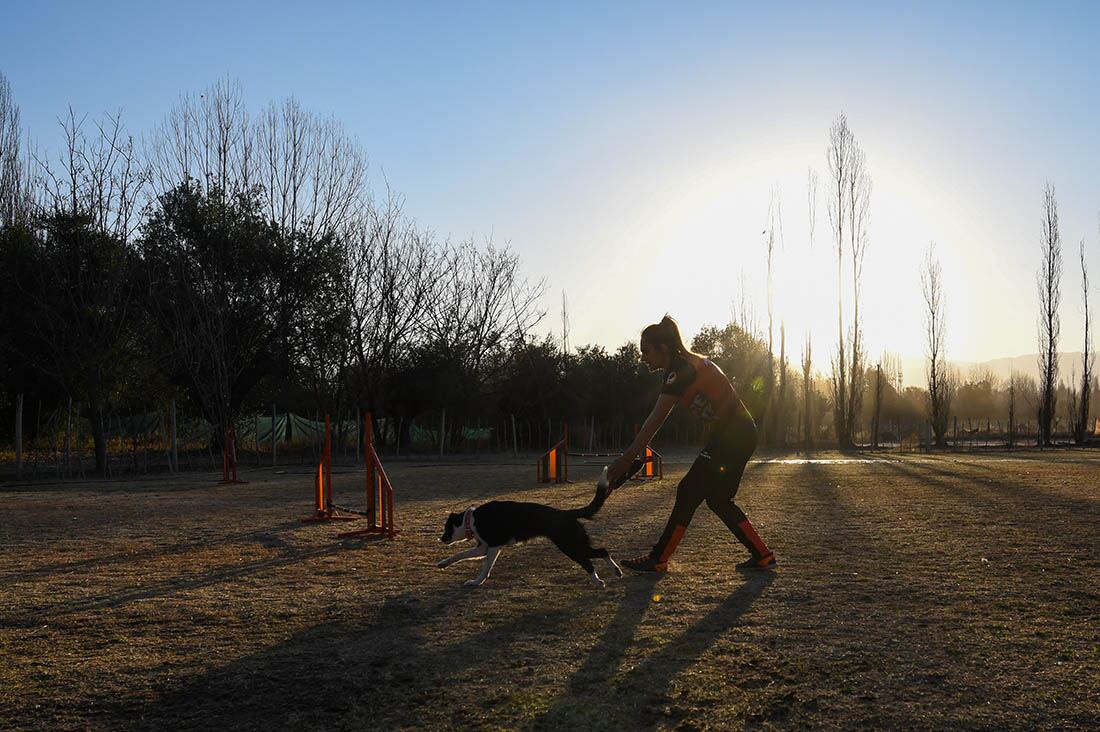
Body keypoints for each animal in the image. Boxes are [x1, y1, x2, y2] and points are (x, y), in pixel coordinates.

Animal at [440, 468, 629, 590]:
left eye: (446, 528)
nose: (440, 539)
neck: (471, 519)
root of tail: (567, 513)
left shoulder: (493, 546)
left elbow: (486, 567)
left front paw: (477, 581)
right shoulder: (483, 548)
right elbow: (460, 555)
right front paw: (444, 563)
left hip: (569, 546)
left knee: (588, 563)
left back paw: (598, 582)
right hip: (577, 543)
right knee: (603, 551)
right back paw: (616, 571)